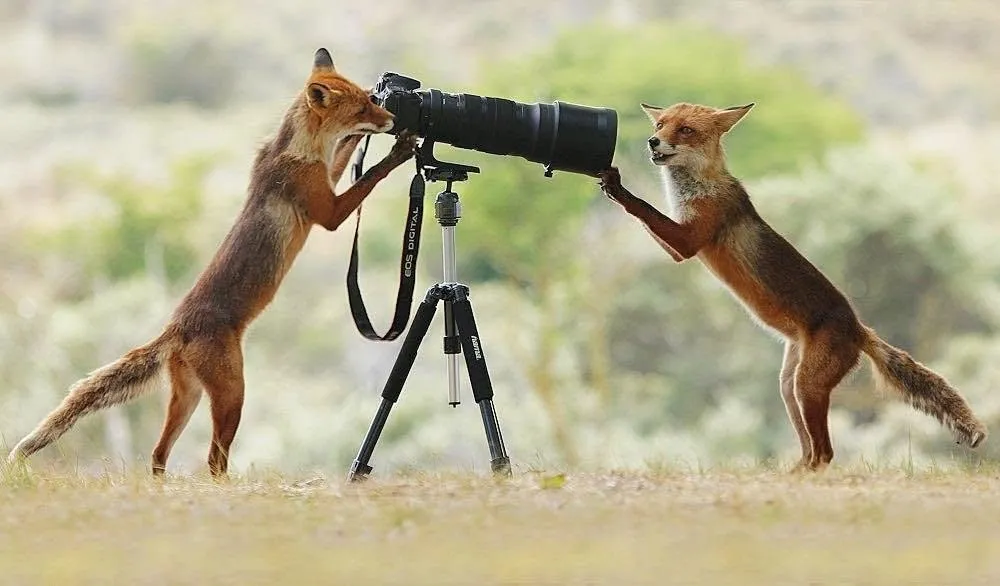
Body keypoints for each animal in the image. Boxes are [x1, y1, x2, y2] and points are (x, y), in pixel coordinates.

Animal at [5, 48, 416, 476]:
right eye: (364, 106)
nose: (393, 119)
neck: (298, 149)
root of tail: (175, 328)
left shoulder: (324, 180)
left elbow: (343, 157)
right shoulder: (328, 212)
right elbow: (367, 179)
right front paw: (398, 152)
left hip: (188, 397)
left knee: (158, 453)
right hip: (232, 394)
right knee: (213, 460)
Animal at [598, 101, 987, 471]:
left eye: (686, 130)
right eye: (661, 125)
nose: (652, 141)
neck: (699, 186)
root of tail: (860, 328)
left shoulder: (690, 240)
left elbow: (644, 209)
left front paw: (617, 187)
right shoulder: (679, 245)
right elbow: (649, 218)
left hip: (808, 385)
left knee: (826, 453)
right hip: (789, 387)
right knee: (810, 448)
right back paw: (794, 471)